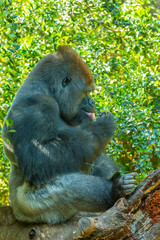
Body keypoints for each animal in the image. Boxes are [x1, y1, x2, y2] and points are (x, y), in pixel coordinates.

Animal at [2, 46, 136, 224]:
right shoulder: (37, 108)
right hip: (30, 210)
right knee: (64, 185)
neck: (46, 90)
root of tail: (15, 212)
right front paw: (101, 128)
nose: (93, 102)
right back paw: (112, 192)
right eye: (86, 92)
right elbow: (38, 159)